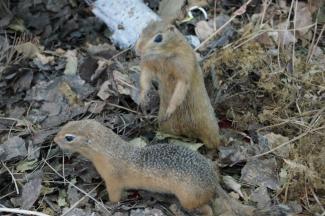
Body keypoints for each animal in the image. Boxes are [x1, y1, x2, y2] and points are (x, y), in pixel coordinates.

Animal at [54, 119, 219, 215]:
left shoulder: (113, 180)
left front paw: (108, 204)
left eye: (69, 137)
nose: (54, 139)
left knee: (207, 209)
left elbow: (114, 196)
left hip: (189, 198)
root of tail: (213, 184)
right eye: (68, 123)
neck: (111, 153)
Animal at [134, 21, 220, 149]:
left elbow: (180, 91)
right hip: (166, 127)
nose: (138, 50)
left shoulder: (183, 71)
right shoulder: (151, 64)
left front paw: (170, 110)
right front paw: (143, 97)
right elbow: (145, 79)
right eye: (141, 33)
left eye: (158, 38)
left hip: (210, 128)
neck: (165, 54)